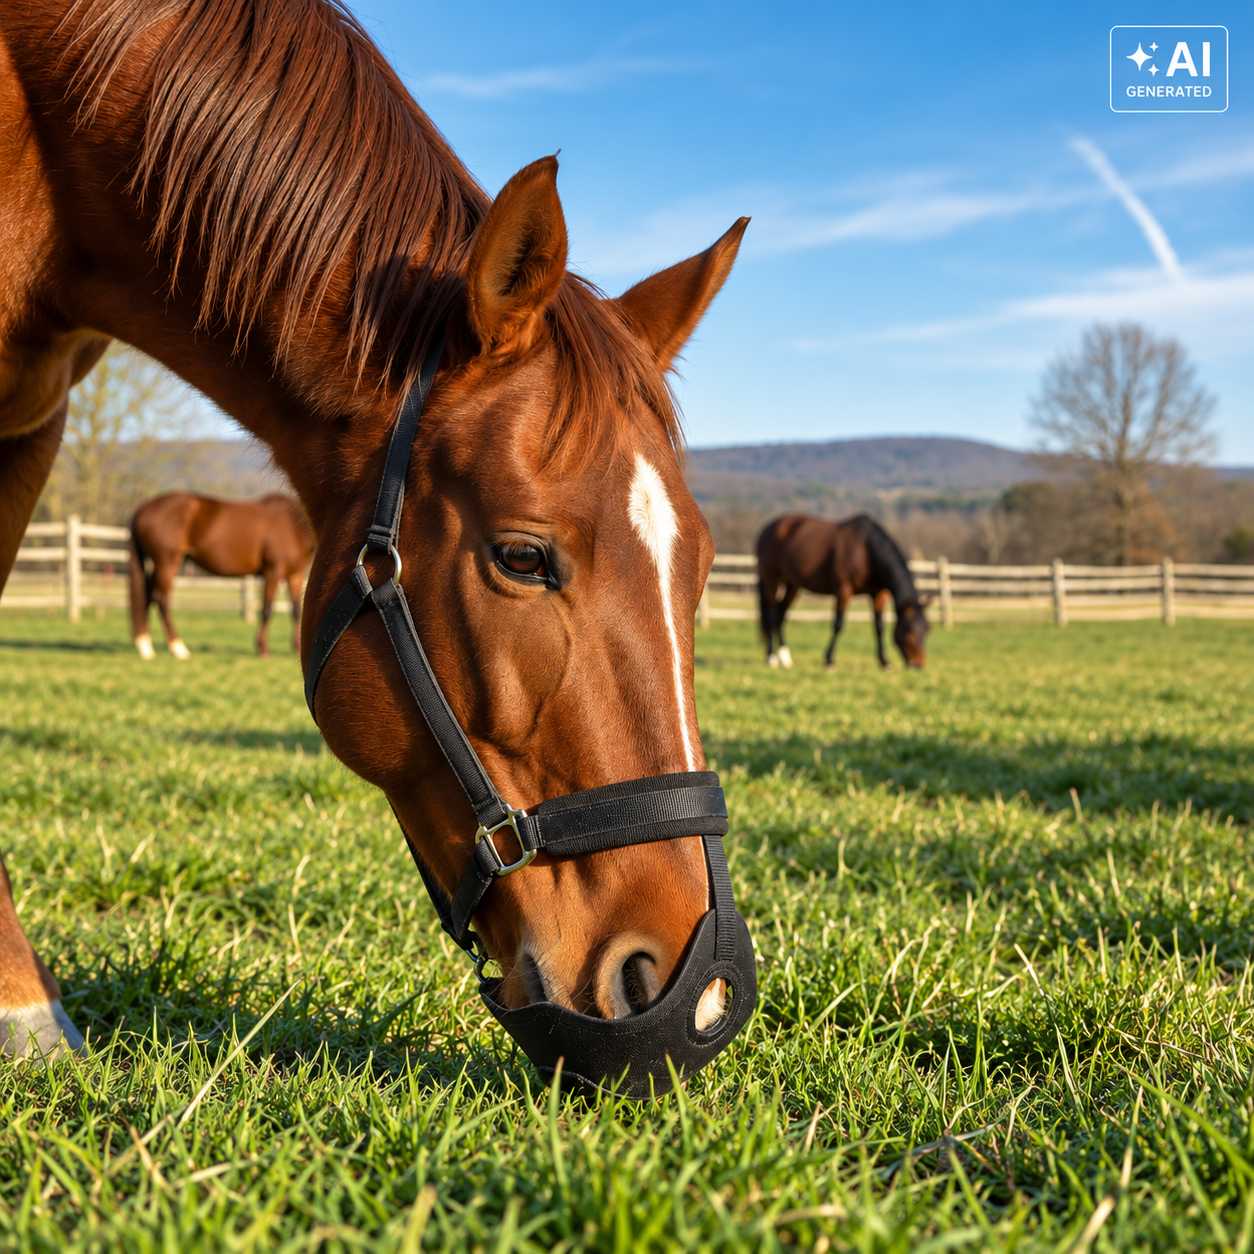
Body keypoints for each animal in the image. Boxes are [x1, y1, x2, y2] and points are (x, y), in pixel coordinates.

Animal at [128, 491, 314, 659]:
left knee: (147, 597)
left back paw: (146, 647)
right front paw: (262, 649)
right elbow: (267, 610)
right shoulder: (272, 572)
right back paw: (178, 649)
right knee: (161, 600)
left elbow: (296, 610)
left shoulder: (295, 575)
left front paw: (297, 648)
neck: (292, 525)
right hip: (167, 563)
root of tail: (142, 509)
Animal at [756, 513, 933, 669]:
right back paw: (771, 657)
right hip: (771, 579)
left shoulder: (878, 594)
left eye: (926, 630)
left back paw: (785, 658)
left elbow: (879, 627)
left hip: (793, 584)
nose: (918, 665)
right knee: (771, 615)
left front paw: (884, 662)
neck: (865, 550)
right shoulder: (843, 590)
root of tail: (768, 528)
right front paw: (829, 660)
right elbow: (838, 624)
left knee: (780, 615)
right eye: (909, 633)